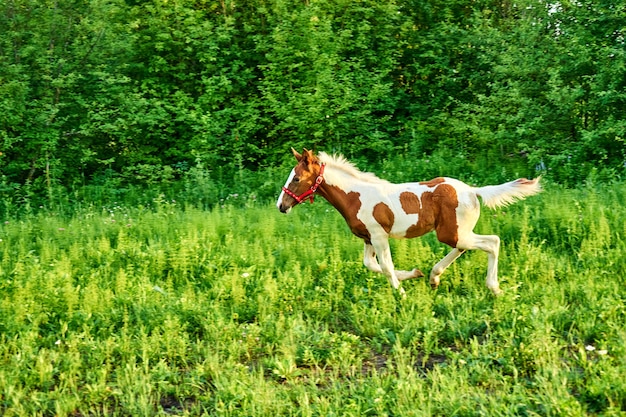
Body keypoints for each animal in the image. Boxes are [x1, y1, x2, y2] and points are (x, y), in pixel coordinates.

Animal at [276, 148, 540, 294]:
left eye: (296, 178)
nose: (281, 206)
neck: (356, 196)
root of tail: (473, 191)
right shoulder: (368, 238)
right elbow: (371, 265)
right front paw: (413, 274)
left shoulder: (379, 236)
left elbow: (385, 266)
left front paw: (400, 293)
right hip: (454, 232)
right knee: (464, 248)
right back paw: (434, 277)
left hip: (452, 232)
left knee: (492, 242)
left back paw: (493, 288)